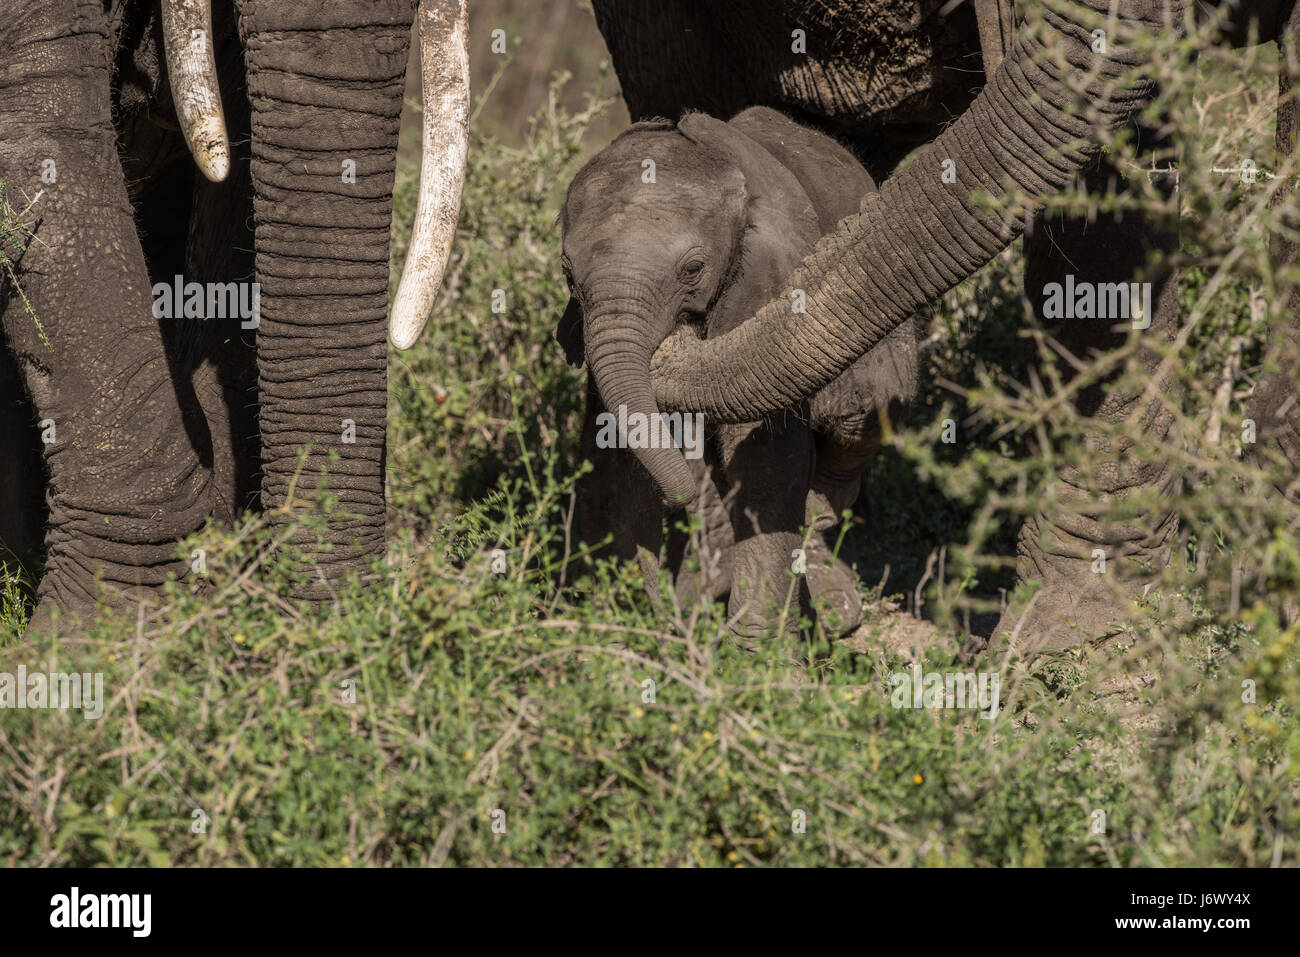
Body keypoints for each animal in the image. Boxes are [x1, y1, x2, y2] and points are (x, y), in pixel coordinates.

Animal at [556, 106, 915, 634]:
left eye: (692, 270)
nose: (677, 501)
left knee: (866, 411)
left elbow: (766, 456)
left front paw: (759, 648)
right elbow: (607, 455)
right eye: (567, 274)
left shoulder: (766, 284)